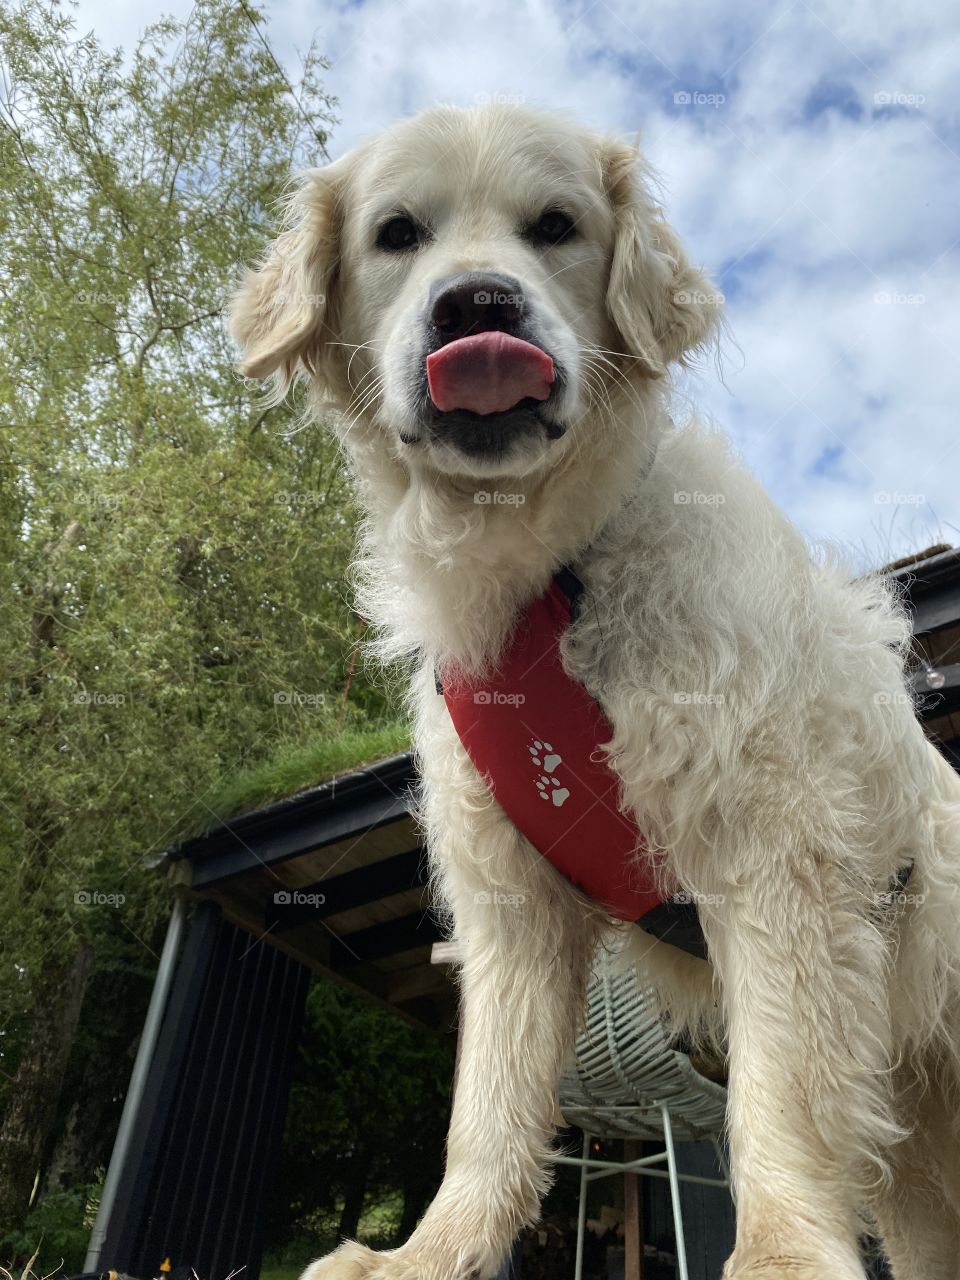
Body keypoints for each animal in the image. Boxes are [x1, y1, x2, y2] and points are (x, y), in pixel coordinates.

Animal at [229, 102, 960, 1280]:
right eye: (398, 235)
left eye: (556, 226)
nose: (477, 307)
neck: (551, 582)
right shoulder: (509, 908)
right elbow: (488, 1109)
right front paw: (431, 1253)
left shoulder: (776, 857)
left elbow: (781, 1084)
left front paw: (782, 1253)